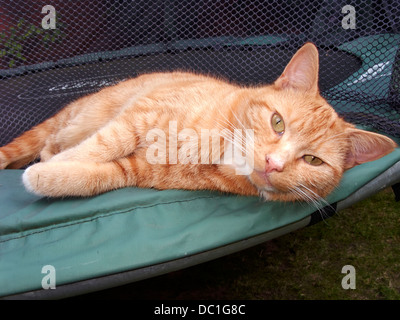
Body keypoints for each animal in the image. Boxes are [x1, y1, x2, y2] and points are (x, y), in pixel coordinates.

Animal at [0, 43, 396, 202]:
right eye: (277, 123)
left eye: (313, 160)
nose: (273, 163)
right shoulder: (139, 117)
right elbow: (101, 144)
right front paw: (58, 164)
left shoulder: (140, 171)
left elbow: (96, 176)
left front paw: (50, 176)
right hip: (83, 118)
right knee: (52, 141)